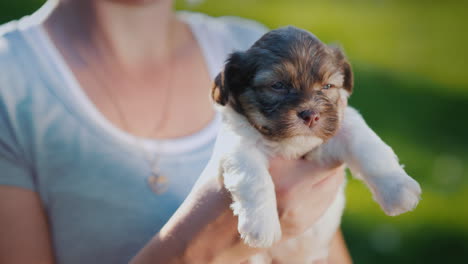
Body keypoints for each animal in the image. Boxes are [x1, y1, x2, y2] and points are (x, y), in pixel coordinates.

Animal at [200, 26, 420, 262]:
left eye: (327, 86)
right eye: (277, 85)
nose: (311, 115)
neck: (289, 144)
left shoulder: (340, 130)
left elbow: (370, 148)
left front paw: (398, 190)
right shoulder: (238, 145)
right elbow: (253, 178)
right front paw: (261, 226)